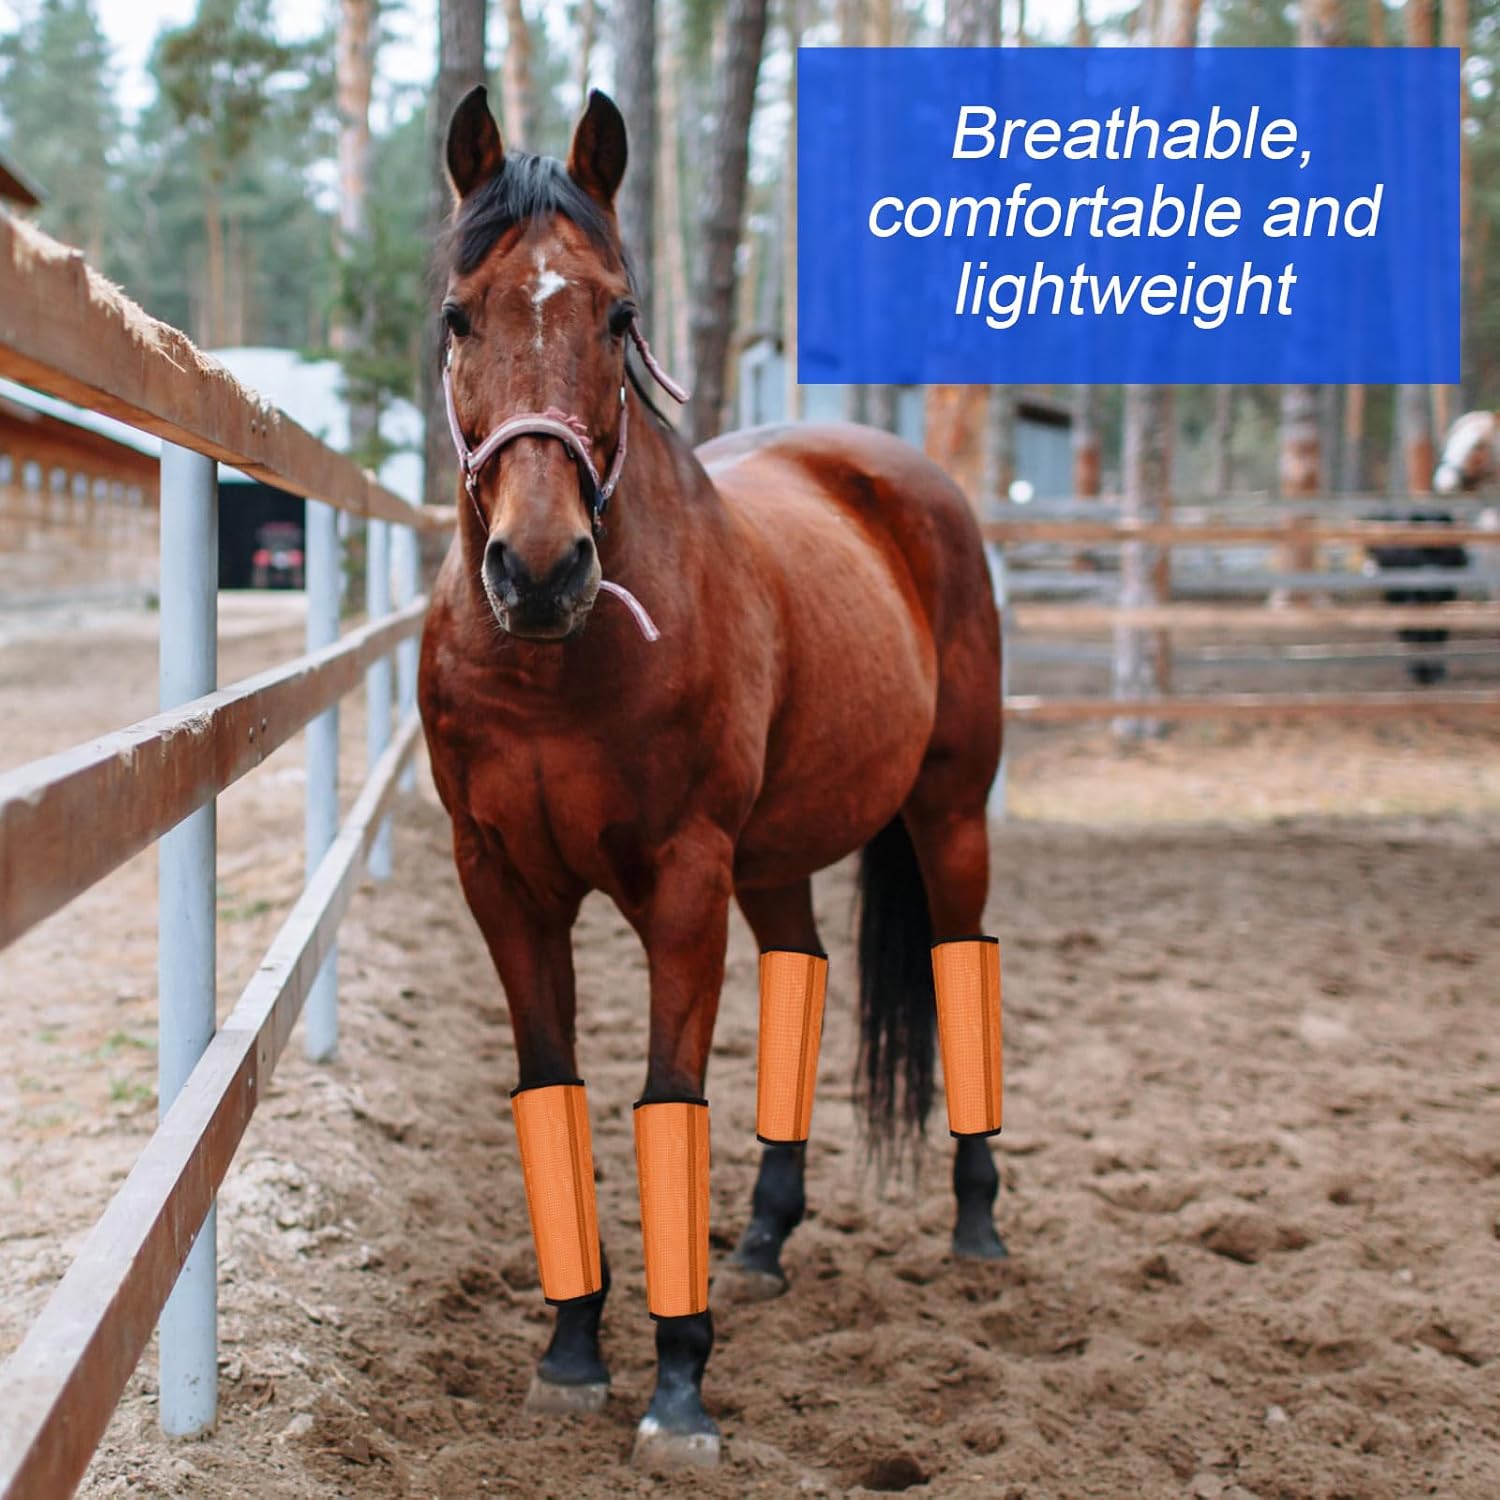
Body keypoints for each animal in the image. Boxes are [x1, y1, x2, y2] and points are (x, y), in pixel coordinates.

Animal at [417, 85, 1005, 1467]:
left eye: (618, 315)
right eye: (460, 315)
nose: (539, 569)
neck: (554, 666)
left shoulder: (682, 882)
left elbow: (665, 1097)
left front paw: (678, 1384)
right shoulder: (502, 885)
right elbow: (554, 1090)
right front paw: (572, 1351)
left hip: (951, 812)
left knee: (961, 959)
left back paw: (976, 1222)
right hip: (776, 858)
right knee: (804, 970)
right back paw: (764, 1239)